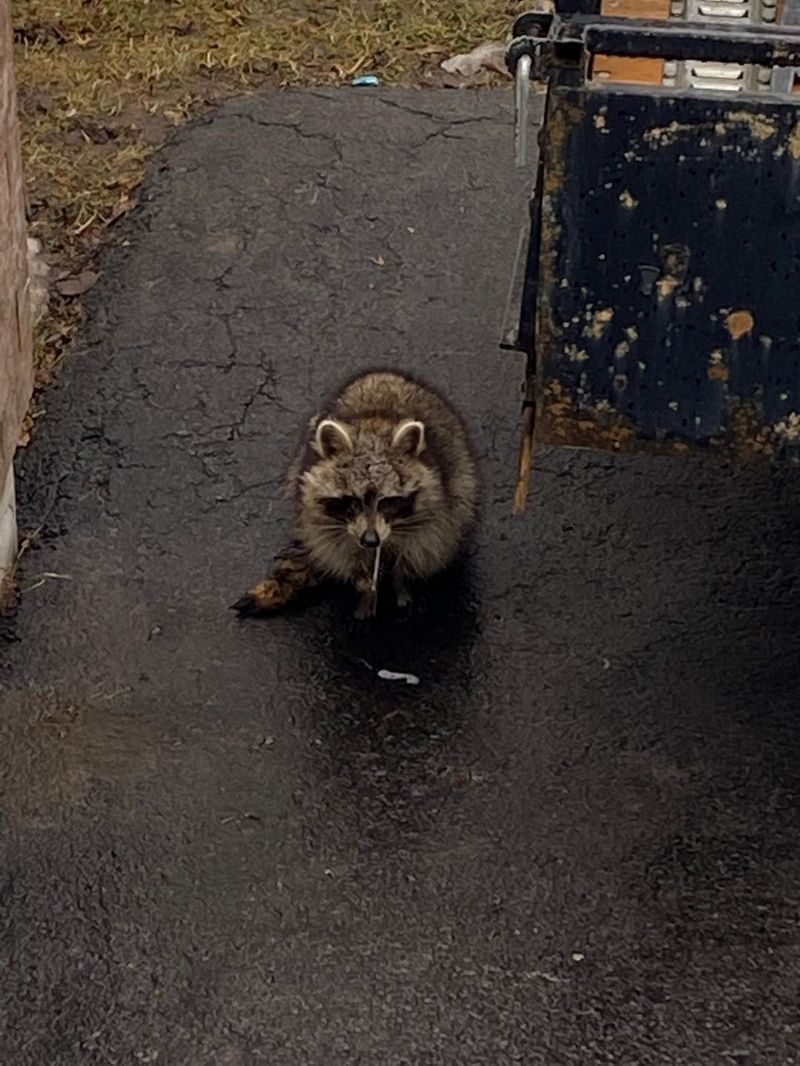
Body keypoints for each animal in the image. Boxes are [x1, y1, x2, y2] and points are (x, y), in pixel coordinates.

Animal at [233, 370, 478, 619]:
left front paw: (401, 582)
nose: (370, 540)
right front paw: (365, 589)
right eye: (351, 501)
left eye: (387, 501)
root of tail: (383, 374)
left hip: (462, 479)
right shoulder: (321, 515)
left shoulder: (435, 506)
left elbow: (417, 549)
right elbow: (346, 556)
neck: (373, 429)